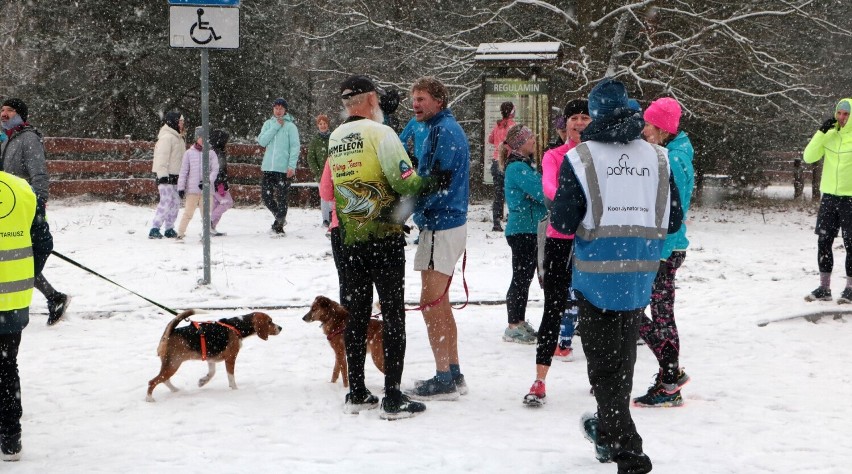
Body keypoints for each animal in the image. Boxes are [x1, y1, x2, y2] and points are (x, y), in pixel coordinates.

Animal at [145, 310, 282, 402]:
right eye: (270, 321)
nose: (280, 328)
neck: (237, 325)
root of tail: (169, 333)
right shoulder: (231, 358)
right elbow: (231, 377)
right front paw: (235, 390)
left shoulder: (210, 358)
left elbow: (212, 373)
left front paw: (202, 381)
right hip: (174, 364)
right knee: (153, 381)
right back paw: (149, 399)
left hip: (170, 364)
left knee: (164, 380)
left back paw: (175, 390)